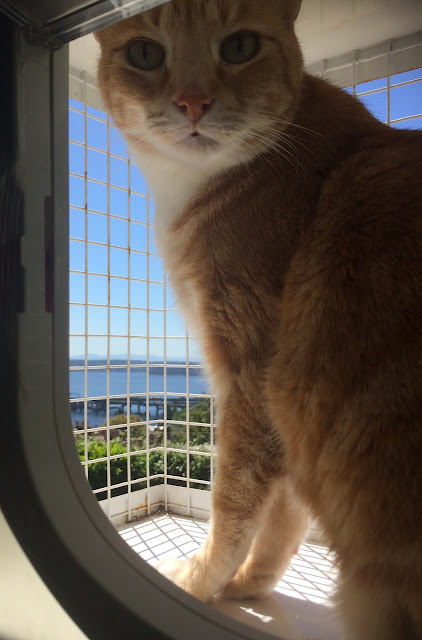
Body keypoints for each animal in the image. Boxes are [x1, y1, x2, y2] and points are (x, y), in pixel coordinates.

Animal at [95, 1, 422, 638]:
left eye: (240, 46)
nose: (193, 101)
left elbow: (234, 501)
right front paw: (248, 584)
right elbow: (283, 516)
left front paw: (199, 583)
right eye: (145, 53)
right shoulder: (290, 413)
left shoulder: (253, 373)